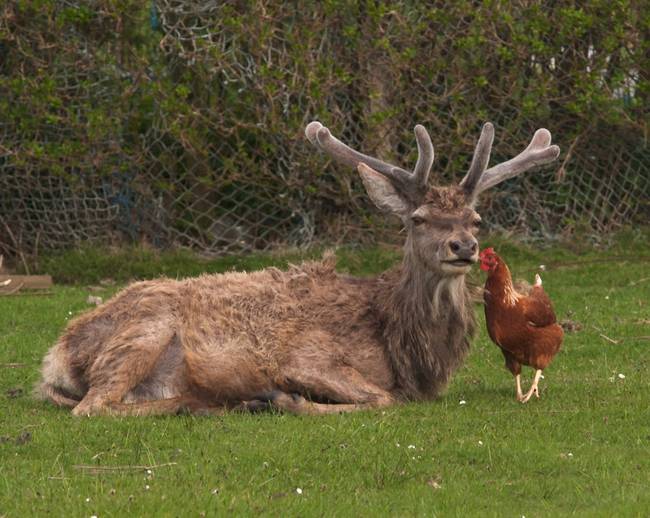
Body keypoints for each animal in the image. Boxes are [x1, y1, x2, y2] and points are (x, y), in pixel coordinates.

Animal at [36, 120, 556, 416]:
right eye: (418, 219)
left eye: (476, 219)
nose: (463, 246)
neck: (409, 351)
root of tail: (55, 357)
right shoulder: (304, 355)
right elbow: (382, 399)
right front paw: (286, 400)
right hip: (144, 328)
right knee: (91, 408)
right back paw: (208, 404)